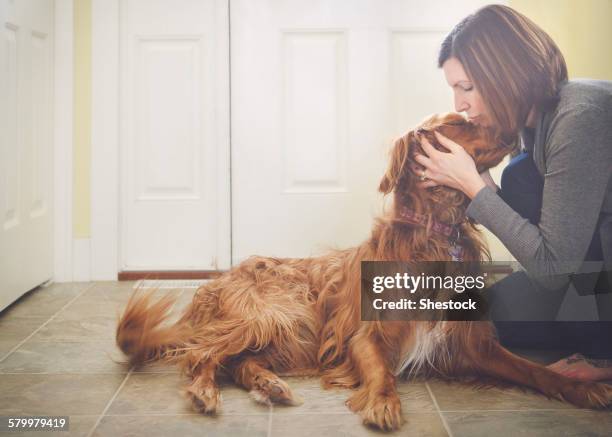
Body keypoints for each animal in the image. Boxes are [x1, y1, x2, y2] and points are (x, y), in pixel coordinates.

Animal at [116, 112, 612, 430]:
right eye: (457, 123)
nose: (516, 126)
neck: (434, 234)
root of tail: (216, 283)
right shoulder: (365, 335)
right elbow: (381, 370)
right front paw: (382, 402)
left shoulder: (471, 343)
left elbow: (534, 371)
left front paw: (583, 390)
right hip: (277, 312)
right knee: (204, 355)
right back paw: (205, 391)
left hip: (295, 334)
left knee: (239, 362)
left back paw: (270, 386)